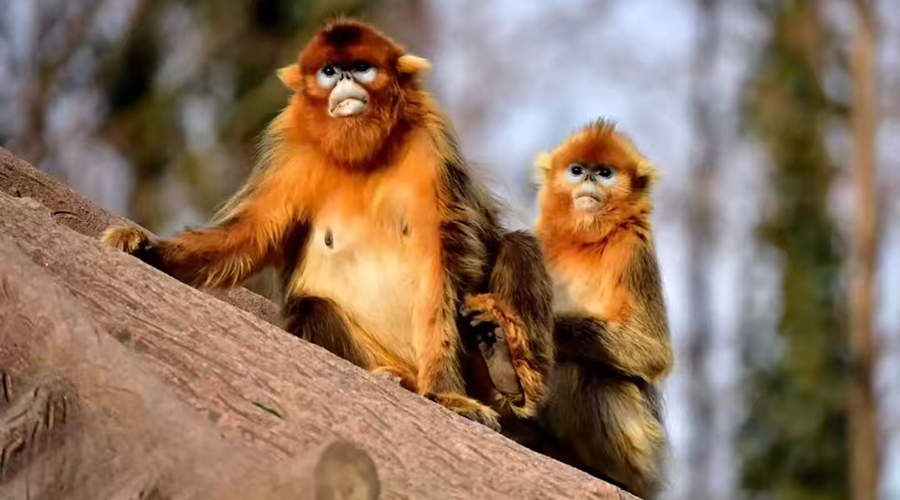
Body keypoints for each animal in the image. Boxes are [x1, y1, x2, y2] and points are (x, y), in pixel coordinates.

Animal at [101, 20, 553, 430]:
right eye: (330, 71)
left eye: (361, 67)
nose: (346, 81)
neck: (363, 154)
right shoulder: (291, 150)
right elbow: (248, 235)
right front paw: (146, 248)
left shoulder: (432, 144)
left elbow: (445, 261)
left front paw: (448, 394)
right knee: (310, 305)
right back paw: (394, 379)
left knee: (517, 245)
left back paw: (506, 370)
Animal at [483, 120, 672, 497]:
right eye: (576, 170)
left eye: (605, 173)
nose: (588, 179)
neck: (586, 241)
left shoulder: (634, 249)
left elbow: (654, 353)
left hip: (646, 449)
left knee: (581, 370)